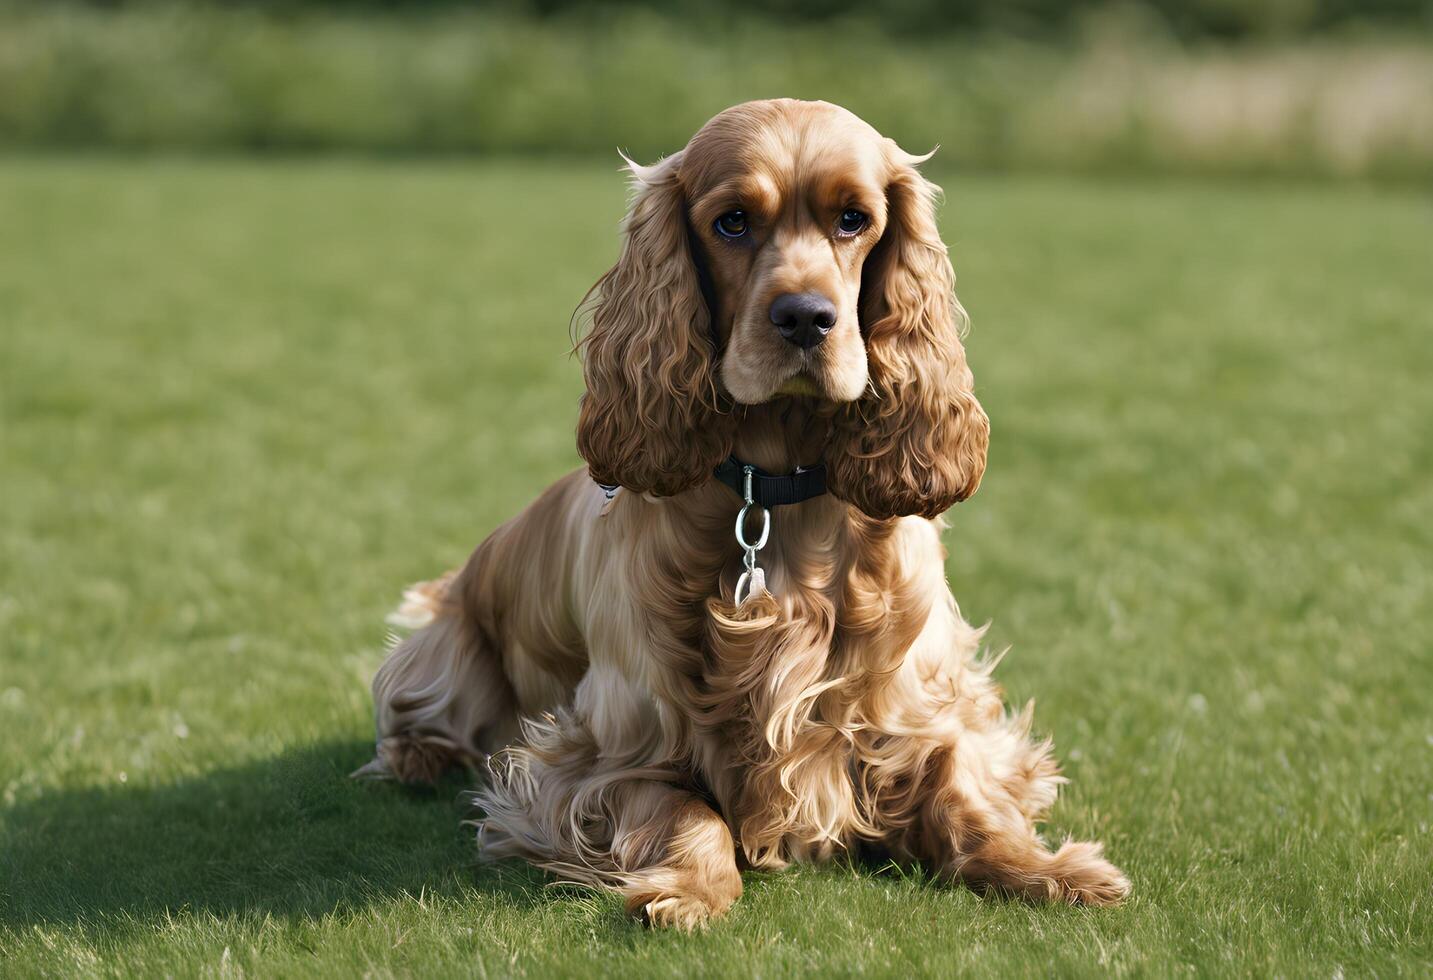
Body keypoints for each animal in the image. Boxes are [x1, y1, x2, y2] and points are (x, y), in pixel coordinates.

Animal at [363, 97, 1134, 928]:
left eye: (854, 219)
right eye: (731, 222)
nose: (804, 318)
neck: (779, 497)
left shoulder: (920, 701)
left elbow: (965, 788)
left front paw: (1046, 868)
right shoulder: (599, 750)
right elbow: (684, 809)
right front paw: (691, 889)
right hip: (447, 646)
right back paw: (417, 754)